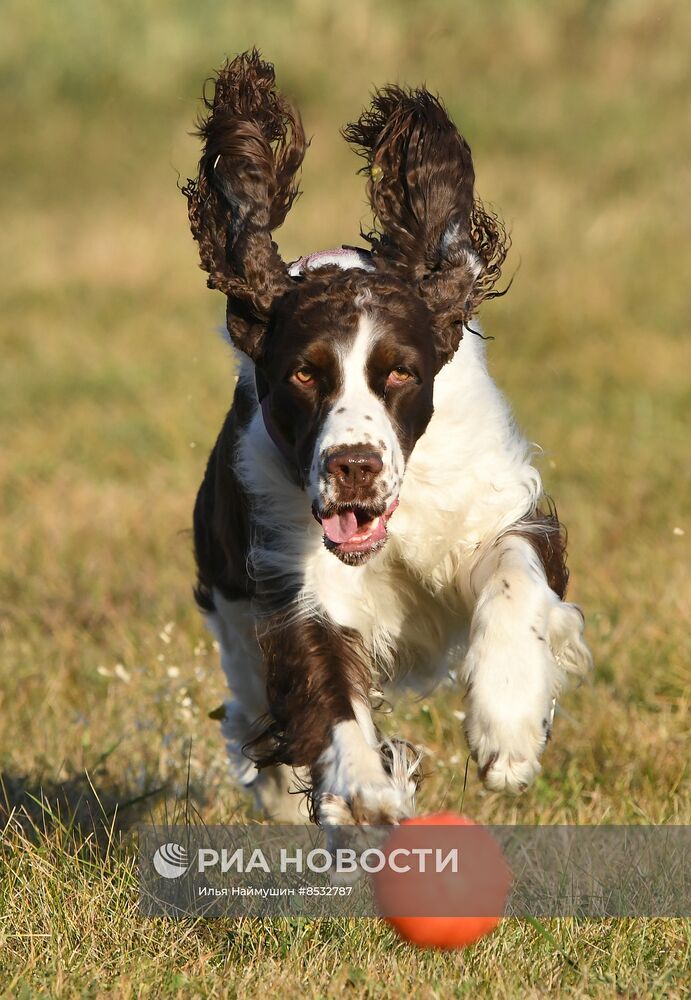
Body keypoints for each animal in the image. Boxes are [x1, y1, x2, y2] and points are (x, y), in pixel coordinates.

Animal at [185, 50, 596, 824]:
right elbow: (323, 683)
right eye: (304, 374)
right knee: (252, 710)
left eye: (400, 372)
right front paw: (365, 790)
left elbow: (512, 575)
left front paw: (506, 730)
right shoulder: (293, 570)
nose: (353, 467)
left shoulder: (494, 503)